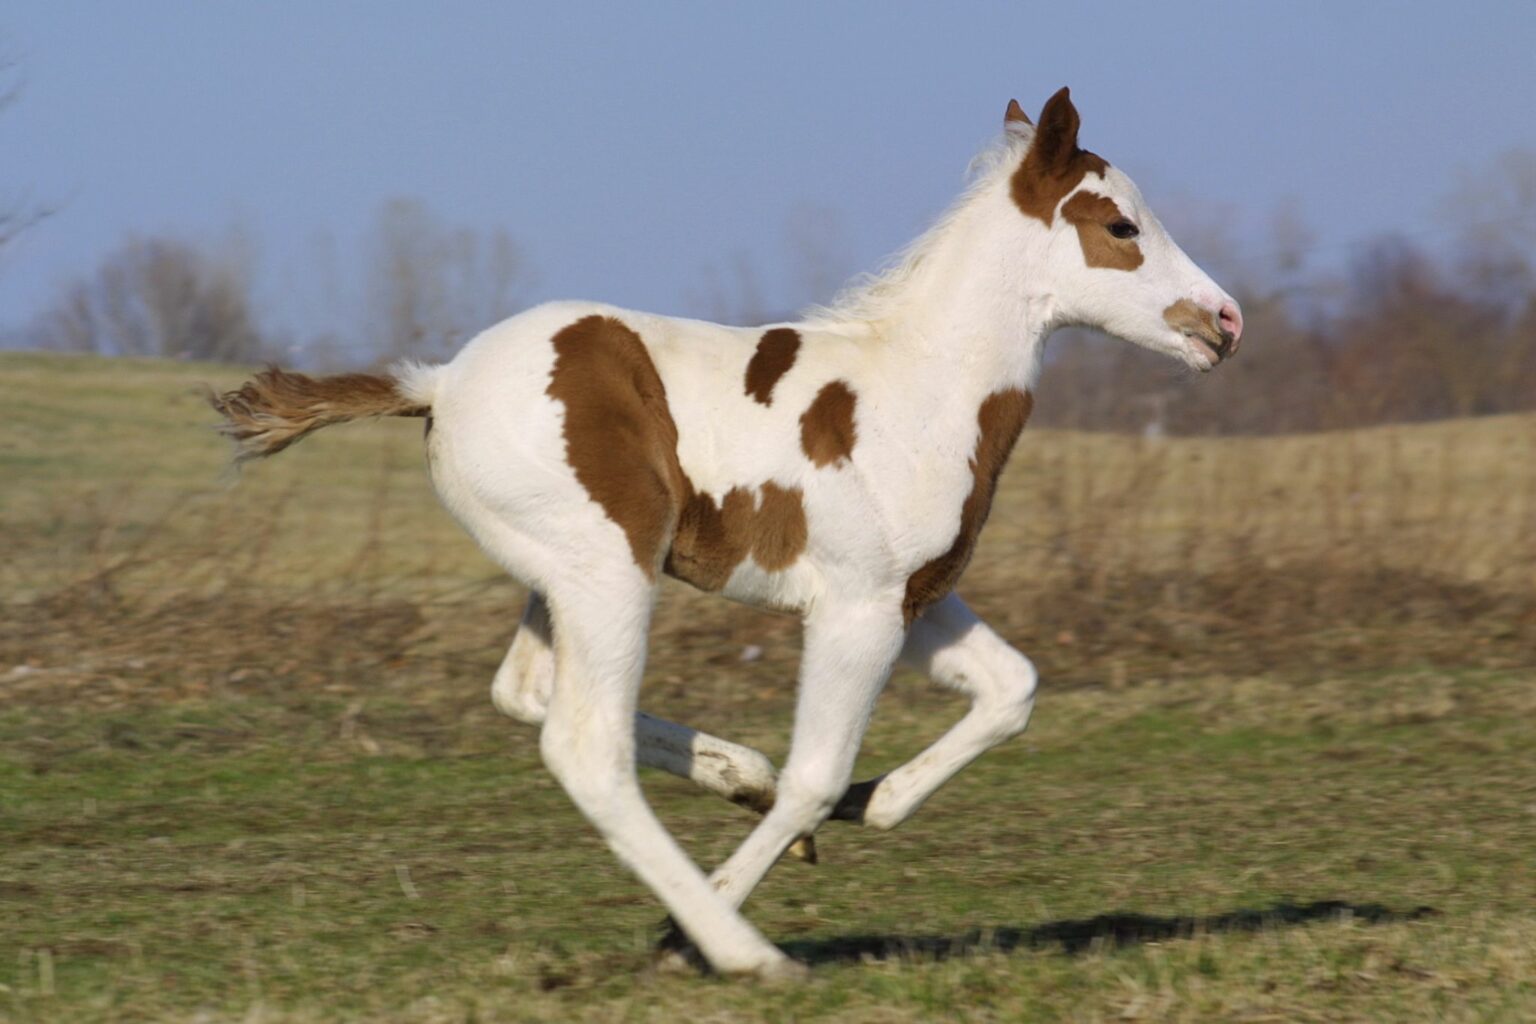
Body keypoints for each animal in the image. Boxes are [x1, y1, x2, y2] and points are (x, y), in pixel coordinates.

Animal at [211, 88, 1242, 981]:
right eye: (1122, 228)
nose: (1226, 321)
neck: (918, 387)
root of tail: (440, 383)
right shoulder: (859, 610)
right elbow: (818, 774)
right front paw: (693, 927)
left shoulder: (918, 598)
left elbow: (1012, 690)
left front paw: (874, 803)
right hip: (608, 575)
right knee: (585, 747)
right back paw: (742, 949)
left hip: (561, 580)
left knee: (526, 693)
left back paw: (736, 774)